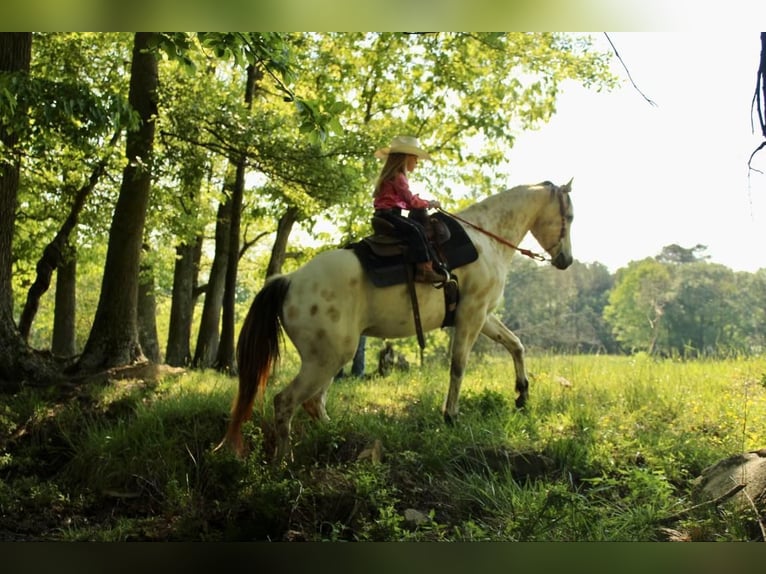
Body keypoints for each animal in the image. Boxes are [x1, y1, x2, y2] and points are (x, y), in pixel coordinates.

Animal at [216, 180, 576, 464]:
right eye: (569, 216)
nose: (566, 261)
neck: (485, 239)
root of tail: (288, 281)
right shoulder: (471, 315)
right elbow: (458, 366)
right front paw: (451, 416)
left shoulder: (483, 315)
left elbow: (516, 345)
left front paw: (522, 395)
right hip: (326, 360)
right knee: (286, 402)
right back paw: (283, 463)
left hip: (330, 360)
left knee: (313, 403)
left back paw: (336, 437)